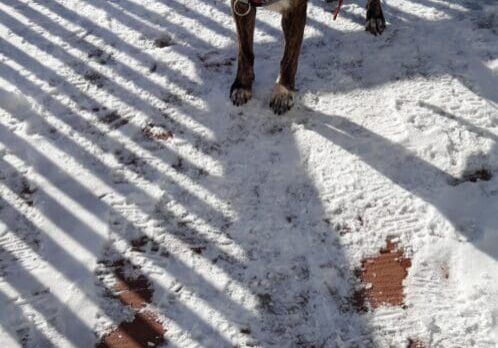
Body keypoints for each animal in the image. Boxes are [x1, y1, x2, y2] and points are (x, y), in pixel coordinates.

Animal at [230, 0, 386, 114]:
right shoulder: (241, 5)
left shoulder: (295, 10)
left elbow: (289, 58)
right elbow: (244, 50)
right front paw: (242, 86)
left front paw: (283, 93)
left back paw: (374, 17)